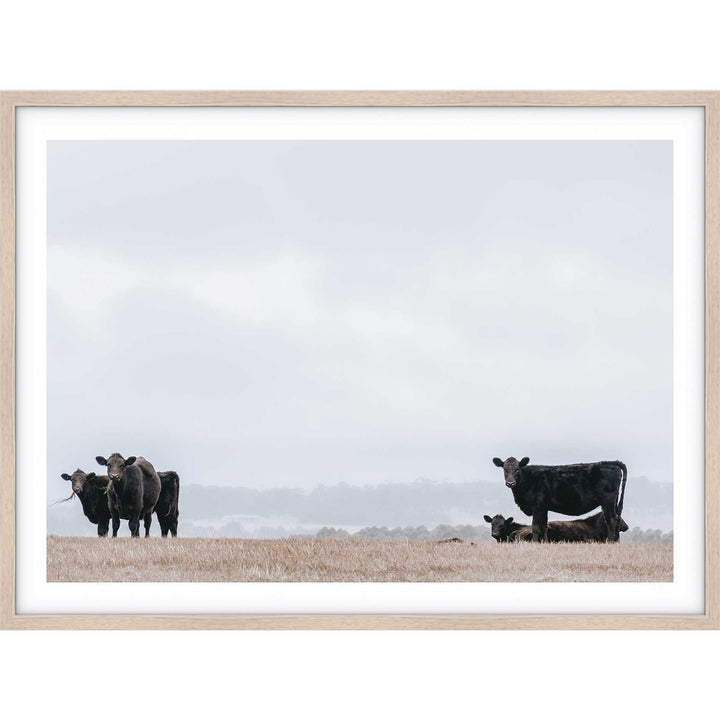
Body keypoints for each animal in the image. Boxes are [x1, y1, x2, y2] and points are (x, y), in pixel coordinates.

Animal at [492, 456, 628, 542]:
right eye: (504, 469)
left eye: (517, 469)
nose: (510, 483)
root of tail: (611, 462)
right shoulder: (544, 508)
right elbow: (544, 526)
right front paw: (544, 542)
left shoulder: (536, 506)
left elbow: (535, 527)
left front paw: (535, 543)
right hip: (613, 502)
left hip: (608, 501)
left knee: (611, 519)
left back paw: (610, 541)